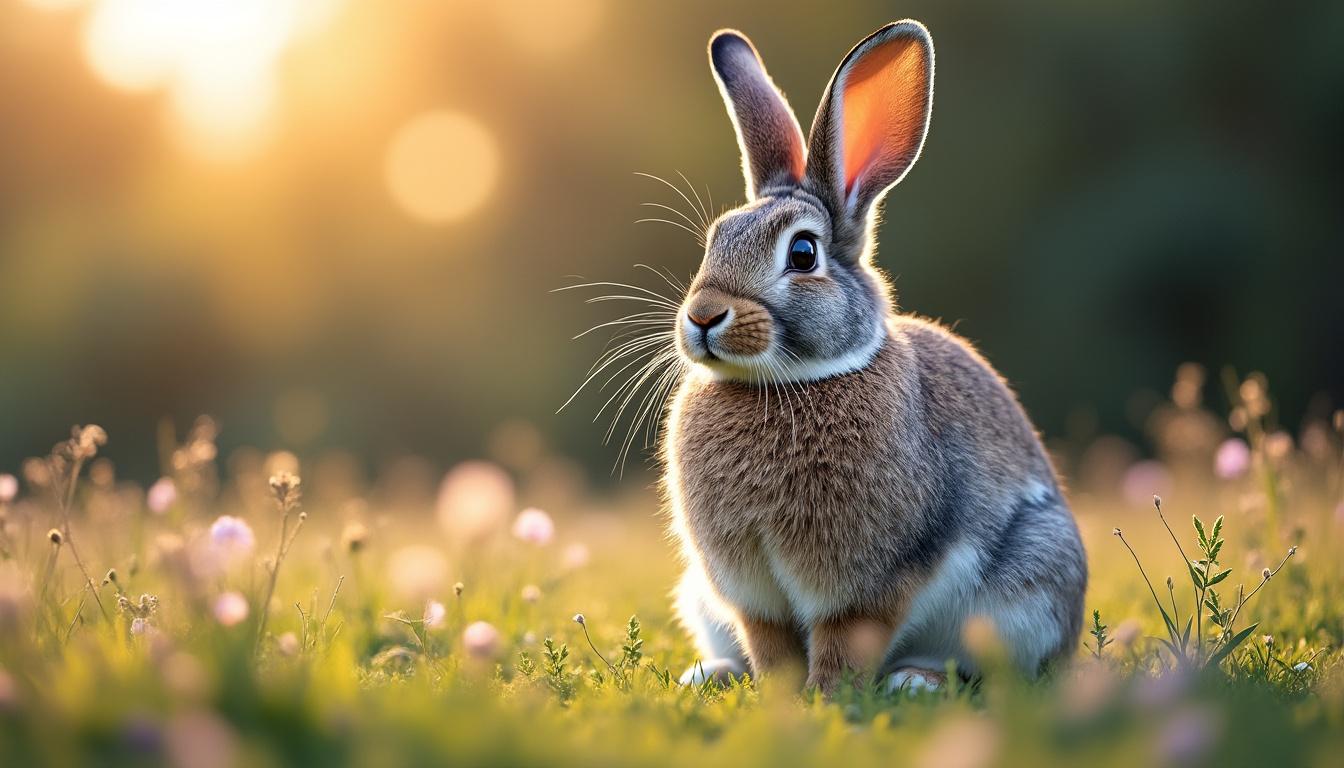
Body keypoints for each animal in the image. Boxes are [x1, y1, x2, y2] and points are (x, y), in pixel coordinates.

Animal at [663, 20, 1087, 694]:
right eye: (716, 239)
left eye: (803, 253)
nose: (703, 317)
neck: (788, 382)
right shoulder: (752, 596)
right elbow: (770, 643)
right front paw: (779, 696)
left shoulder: (870, 585)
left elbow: (846, 640)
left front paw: (826, 696)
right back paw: (710, 673)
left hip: (1030, 585)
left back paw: (915, 681)